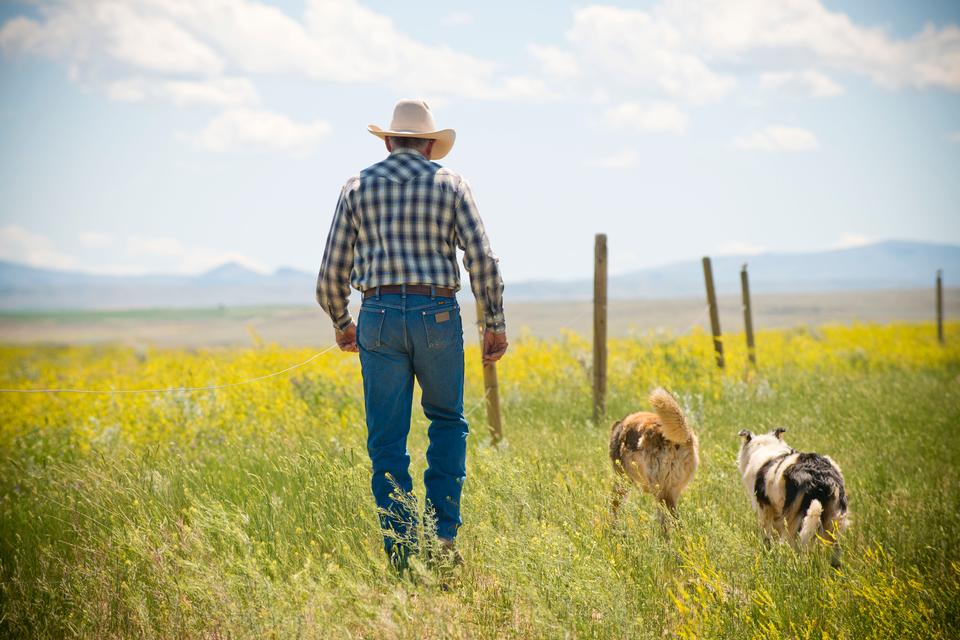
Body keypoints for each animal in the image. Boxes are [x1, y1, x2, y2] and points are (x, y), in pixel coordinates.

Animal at [612, 384, 700, 528]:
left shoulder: (622, 478)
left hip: (660, 491)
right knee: (673, 521)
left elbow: (614, 507)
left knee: (670, 519)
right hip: (671, 490)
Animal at [736, 428, 848, 564]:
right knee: (835, 549)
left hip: (795, 519)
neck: (766, 448)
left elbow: (767, 536)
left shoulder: (765, 509)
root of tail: (820, 476)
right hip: (833, 520)